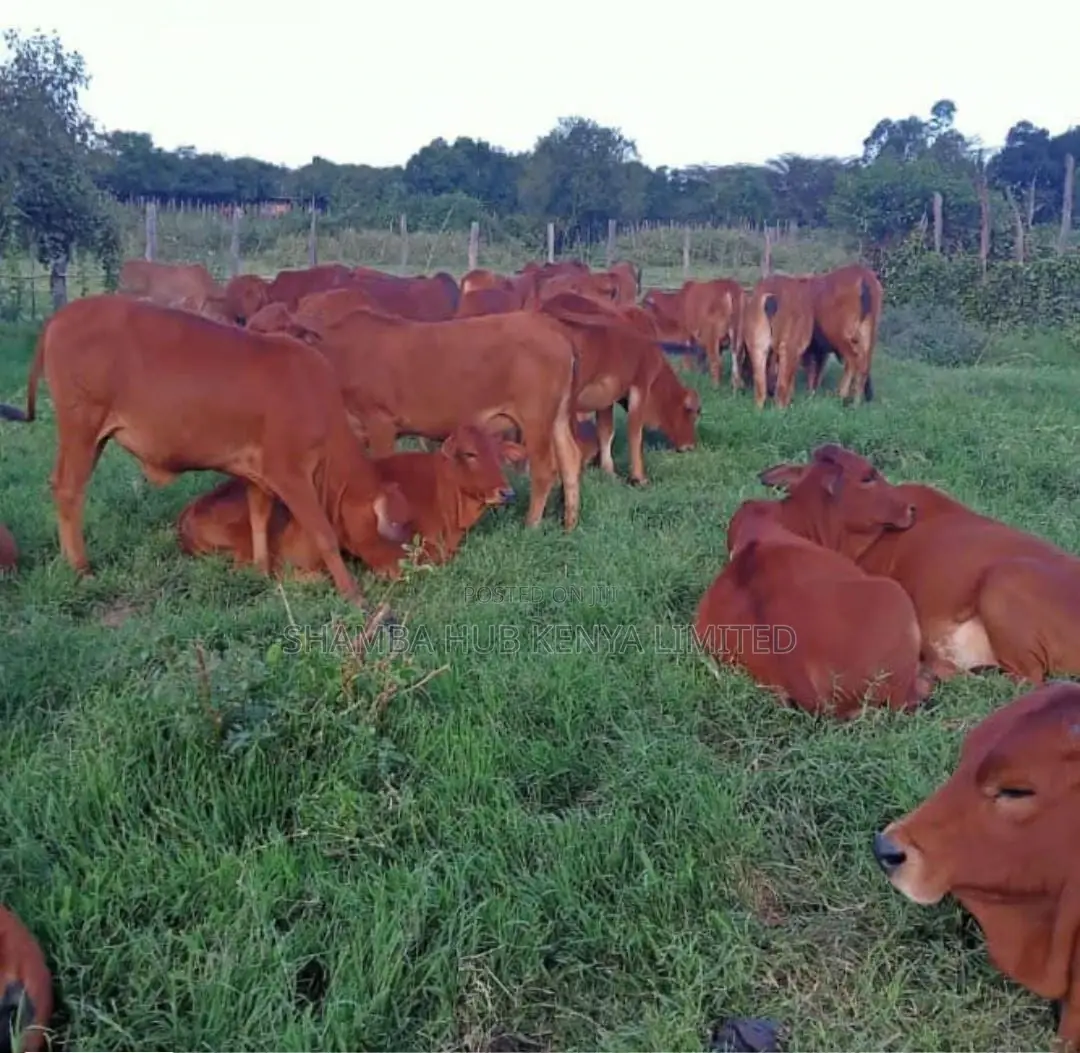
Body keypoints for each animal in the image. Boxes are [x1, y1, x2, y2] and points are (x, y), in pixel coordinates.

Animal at [0, 296, 411, 607]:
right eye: (395, 532)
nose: (401, 573)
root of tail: (64, 314)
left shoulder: (258, 475)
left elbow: (259, 520)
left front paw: (261, 570)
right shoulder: (290, 474)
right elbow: (324, 533)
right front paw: (353, 594)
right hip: (82, 428)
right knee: (69, 490)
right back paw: (80, 567)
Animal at [261, 306, 583, 530]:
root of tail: (545, 322)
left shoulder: (380, 422)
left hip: (536, 418)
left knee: (544, 470)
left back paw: (531, 525)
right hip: (556, 417)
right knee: (570, 459)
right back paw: (569, 525)